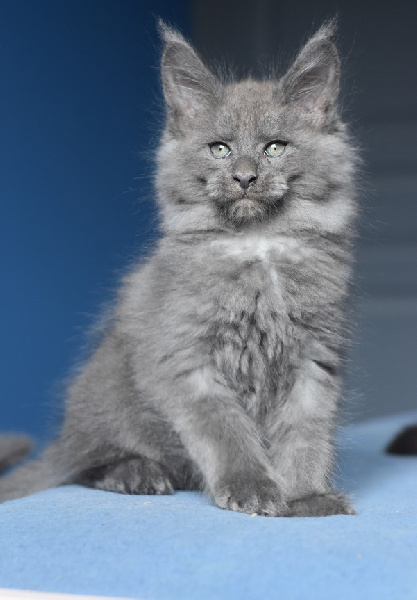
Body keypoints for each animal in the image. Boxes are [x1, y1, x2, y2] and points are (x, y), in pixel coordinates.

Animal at [0, 19, 358, 516]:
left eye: (274, 148)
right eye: (220, 150)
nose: (244, 177)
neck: (258, 246)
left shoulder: (314, 358)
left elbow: (307, 434)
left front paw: (306, 496)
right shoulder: (185, 359)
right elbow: (225, 431)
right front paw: (252, 487)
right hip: (108, 399)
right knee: (85, 464)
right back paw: (137, 473)